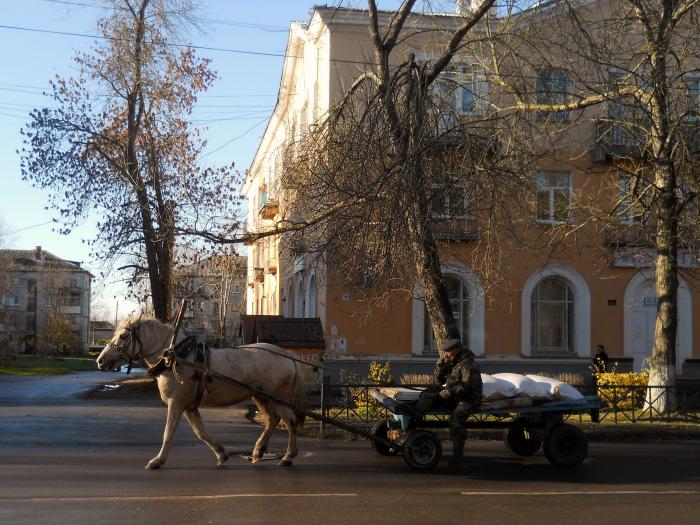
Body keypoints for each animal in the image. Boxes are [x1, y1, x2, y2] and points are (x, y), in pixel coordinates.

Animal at [95, 314, 306, 468]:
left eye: (123, 336)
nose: (100, 360)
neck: (177, 357)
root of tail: (287, 355)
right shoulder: (189, 406)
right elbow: (200, 432)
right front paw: (221, 454)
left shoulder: (176, 403)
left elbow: (168, 432)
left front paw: (158, 461)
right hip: (260, 396)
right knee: (272, 420)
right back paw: (258, 451)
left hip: (277, 397)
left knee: (290, 420)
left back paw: (288, 456)